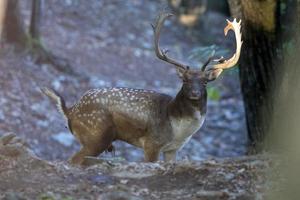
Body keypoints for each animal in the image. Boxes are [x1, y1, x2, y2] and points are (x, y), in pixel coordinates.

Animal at [41, 13, 243, 165]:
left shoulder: (173, 150)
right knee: (73, 160)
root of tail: (70, 110)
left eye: (205, 82)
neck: (178, 129)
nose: (195, 93)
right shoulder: (152, 143)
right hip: (96, 135)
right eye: (184, 80)